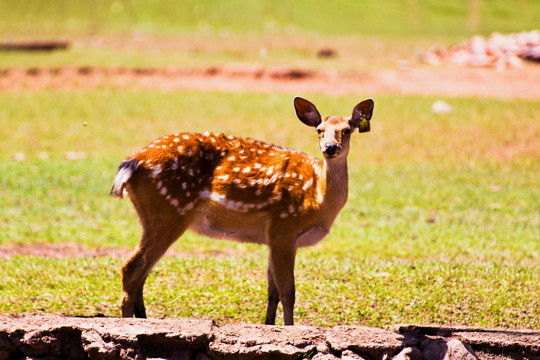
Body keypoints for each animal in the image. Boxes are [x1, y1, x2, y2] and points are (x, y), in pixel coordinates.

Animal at [109, 96, 372, 326]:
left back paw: (143, 318)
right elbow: (288, 292)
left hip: (154, 216)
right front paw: (289, 328)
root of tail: (132, 162)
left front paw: (269, 325)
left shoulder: (275, 238)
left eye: (347, 129)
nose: (330, 147)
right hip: (168, 212)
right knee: (131, 268)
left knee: (141, 272)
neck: (317, 199)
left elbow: (272, 292)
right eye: (319, 129)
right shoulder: (284, 227)